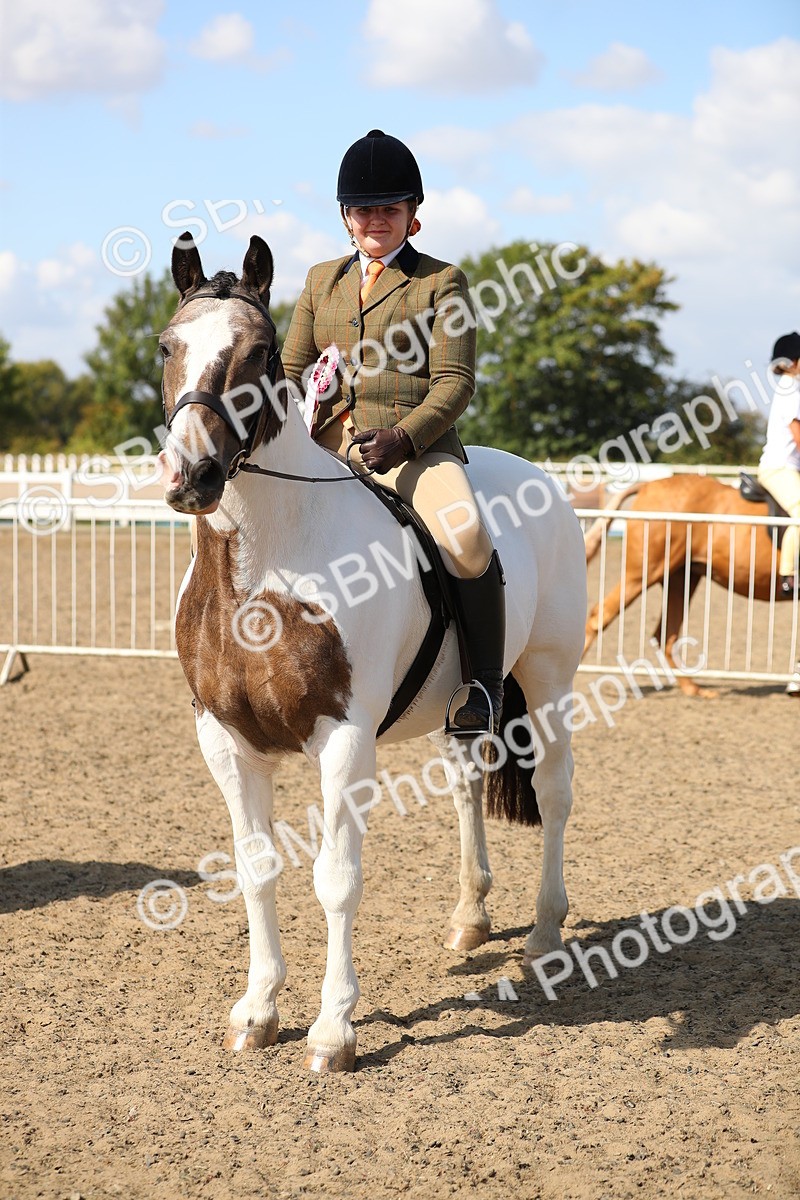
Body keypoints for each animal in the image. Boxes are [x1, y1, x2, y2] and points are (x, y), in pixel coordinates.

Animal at [158, 233, 587, 1072]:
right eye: (168, 345)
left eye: (258, 353)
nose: (191, 476)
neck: (264, 565)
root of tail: (537, 477)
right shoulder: (223, 740)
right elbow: (257, 869)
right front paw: (258, 1012)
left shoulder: (344, 739)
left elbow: (336, 878)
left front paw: (333, 1030)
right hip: (464, 706)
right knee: (466, 786)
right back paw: (469, 921)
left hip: (549, 679)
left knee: (554, 792)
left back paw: (545, 935)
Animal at [583, 473, 798, 696]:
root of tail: (648, 485)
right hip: (643, 572)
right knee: (600, 616)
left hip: (680, 579)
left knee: (666, 635)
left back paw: (693, 689)